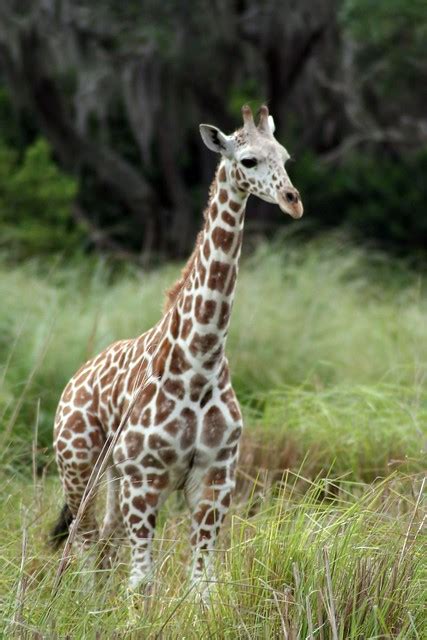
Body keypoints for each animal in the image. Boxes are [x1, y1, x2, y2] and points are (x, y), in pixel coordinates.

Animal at [51, 104, 304, 596]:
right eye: (247, 160)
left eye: (285, 156)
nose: (292, 200)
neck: (200, 363)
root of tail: (74, 380)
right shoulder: (145, 477)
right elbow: (141, 584)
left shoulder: (215, 476)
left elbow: (202, 584)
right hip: (78, 467)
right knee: (83, 544)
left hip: (113, 480)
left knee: (103, 545)